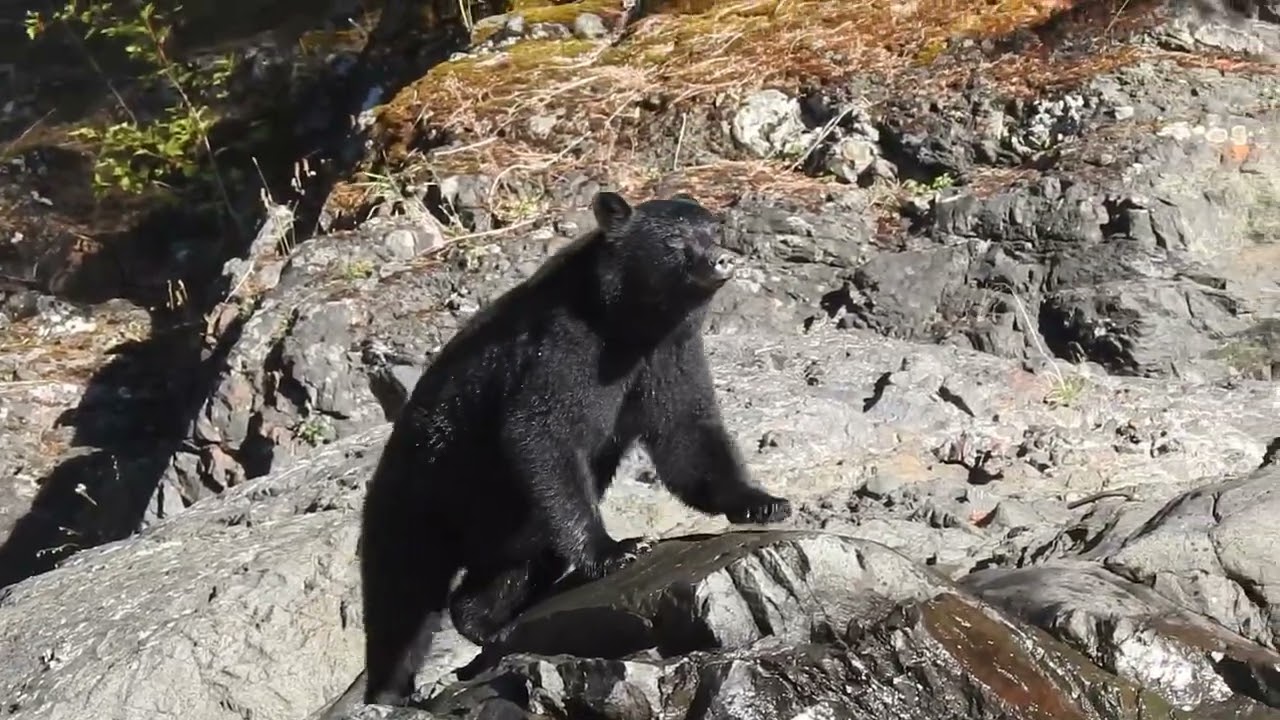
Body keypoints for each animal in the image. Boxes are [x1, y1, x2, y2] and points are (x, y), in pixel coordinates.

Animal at [358, 190, 792, 706]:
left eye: (714, 231)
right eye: (675, 241)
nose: (721, 259)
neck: (629, 320)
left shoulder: (670, 352)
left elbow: (687, 434)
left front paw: (765, 502)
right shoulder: (564, 348)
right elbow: (542, 433)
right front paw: (619, 548)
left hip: (504, 521)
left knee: (517, 563)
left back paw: (485, 622)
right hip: (418, 500)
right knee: (401, 602)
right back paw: (389, 690)